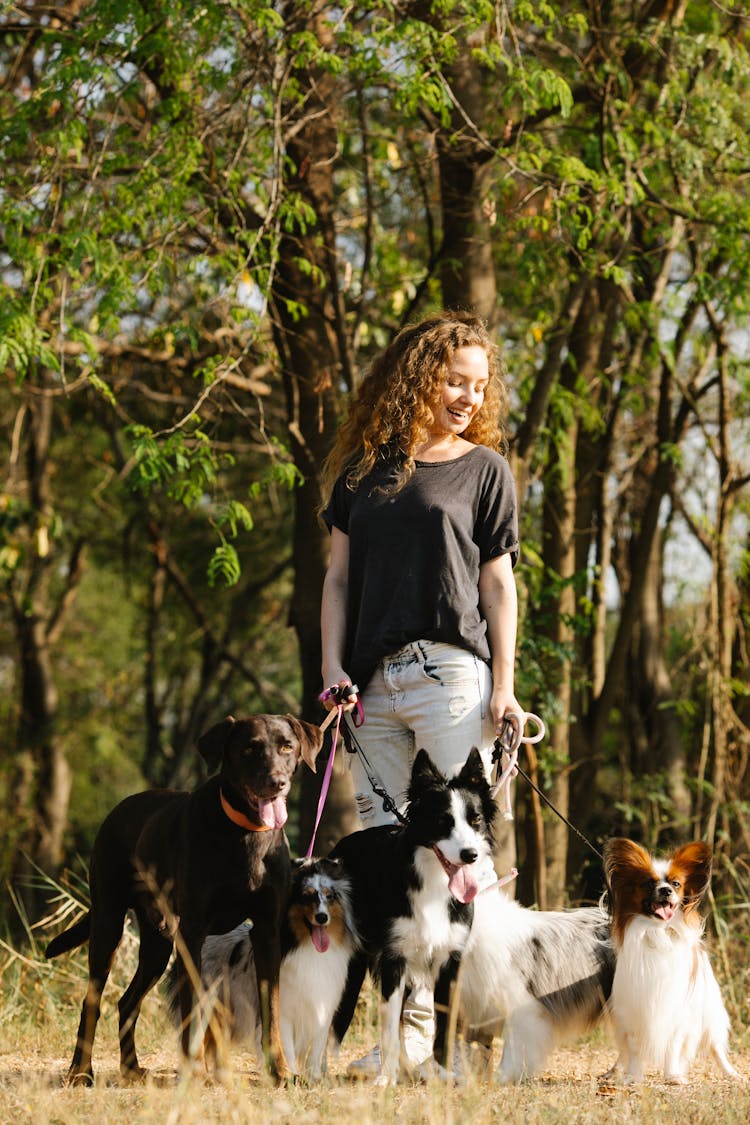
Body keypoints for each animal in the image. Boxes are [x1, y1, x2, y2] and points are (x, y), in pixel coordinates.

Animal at [44, 715, 319, 1084]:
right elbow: (194, 1009)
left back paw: (131, 1068)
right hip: (108, 924)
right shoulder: (193, 933)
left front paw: (281, 1071)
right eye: (250, 748)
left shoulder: (266, 932)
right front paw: (196, 1070)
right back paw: (80, 1071)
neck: (244, 831)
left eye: (287, 746)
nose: (277, 782)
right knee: (93, 1001)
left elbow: (271, 1009)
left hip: (157, 943)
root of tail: (118, 808)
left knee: (127, 1002)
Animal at [167, 859, 359, 1080]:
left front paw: (315, 1078)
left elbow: (315, 1050)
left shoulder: (322, 1009)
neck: (306, 946)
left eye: (329, 896)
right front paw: (290, 1073)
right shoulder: (283, 1012)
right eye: (306, 896)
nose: (321, 917)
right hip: (209, 1003)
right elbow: (286, 1045)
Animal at [328, 751, 492, 1084]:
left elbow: (443, 1027)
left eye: (476, 820)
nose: (470, 855)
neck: (433, 882)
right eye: (443, 821)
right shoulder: (395, 958)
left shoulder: (450, 959)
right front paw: (385, 1080)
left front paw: (444, 1074)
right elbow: (391, 1027)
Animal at [602, 841, 742, 1084]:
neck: (658, 931)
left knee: (716, 1046)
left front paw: (673, 1075)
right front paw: (633, 1076)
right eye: (649, 883)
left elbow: (673, 1046)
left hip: (709, 1011)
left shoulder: (678, 1012)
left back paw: (730, 1072)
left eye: (676, 884)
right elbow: (634, 1048)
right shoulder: (633, 1009)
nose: (666, 890)